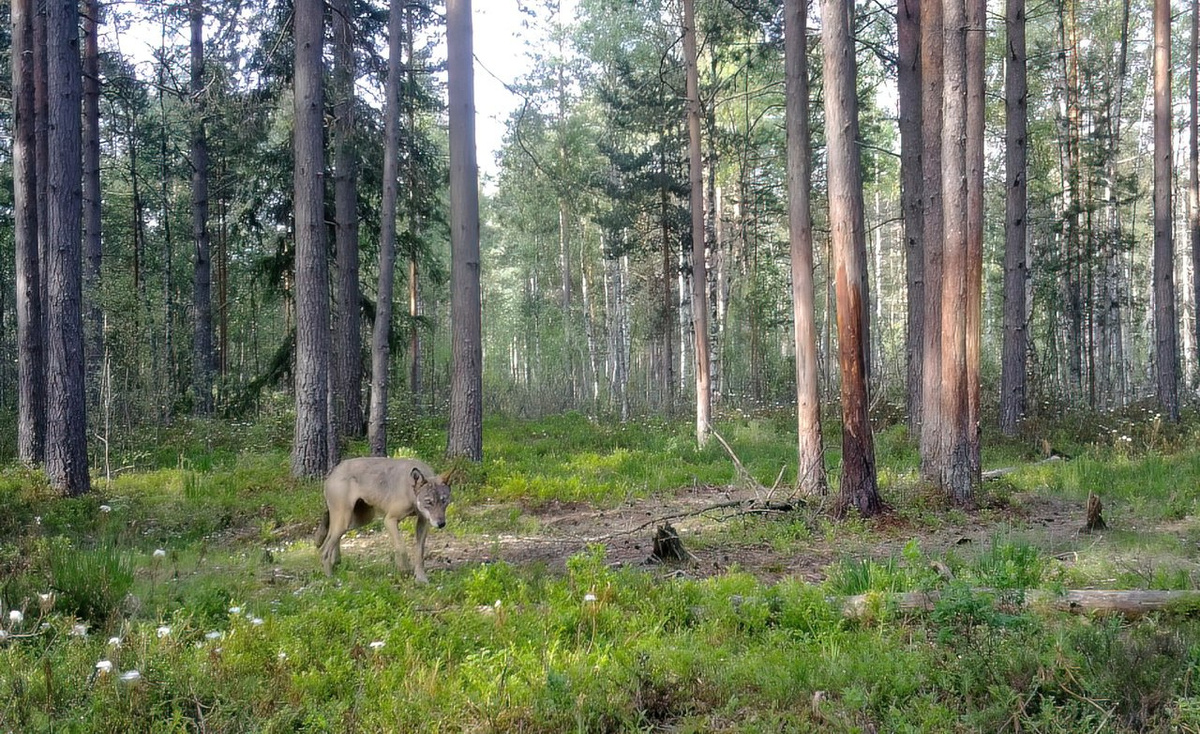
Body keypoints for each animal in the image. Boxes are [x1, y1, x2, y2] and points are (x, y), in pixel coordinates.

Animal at [314, 455, 453, 582]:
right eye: (429, 502)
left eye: (444, 501)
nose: (441, 523)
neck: (410, 491)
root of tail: (335, 470)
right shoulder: (390, 520)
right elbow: (401, 547)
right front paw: (404, 570)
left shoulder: (423, 522)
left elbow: (419, 553)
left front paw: (421, 579)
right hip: (345, 521)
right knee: (324, 550)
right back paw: (331, 578)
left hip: (356, 521)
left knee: (330, 539)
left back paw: (336, 564)